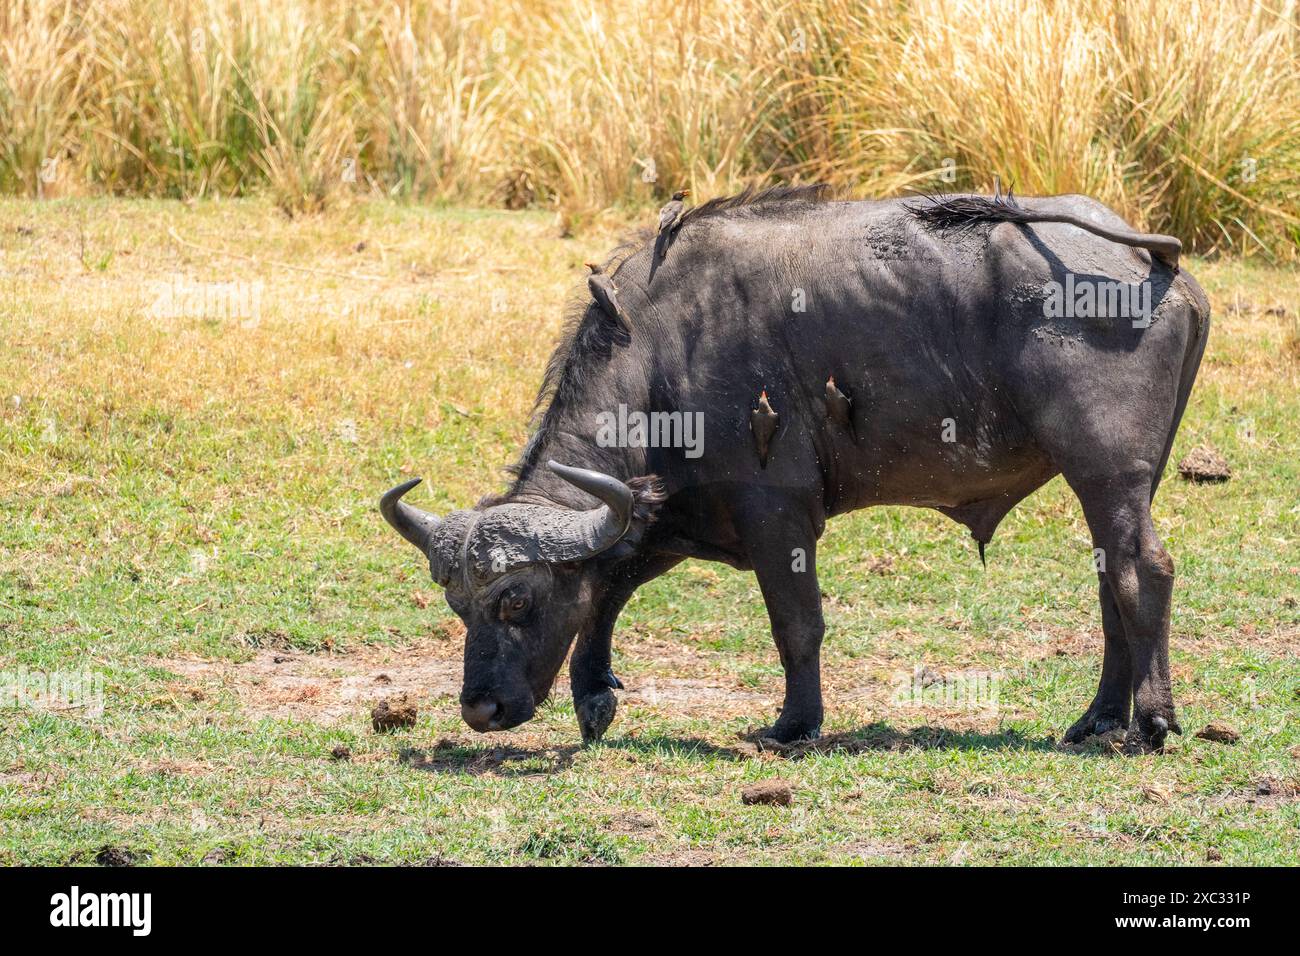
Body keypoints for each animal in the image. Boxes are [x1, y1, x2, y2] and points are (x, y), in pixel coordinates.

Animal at [379, 184, 1211, 754]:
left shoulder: (775, 512)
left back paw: (1152, 720)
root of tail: (1149, 258)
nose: (479, 709)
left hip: (1107, 473)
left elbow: (795, 622)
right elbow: (606, 588)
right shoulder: (675, 513)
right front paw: (593, 695)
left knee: (1144, 570)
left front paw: (794, 723)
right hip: (1129, 481)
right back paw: (1096, 717)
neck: (660, 353)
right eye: (457, 606)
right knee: (1110, 581)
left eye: (516, 601)